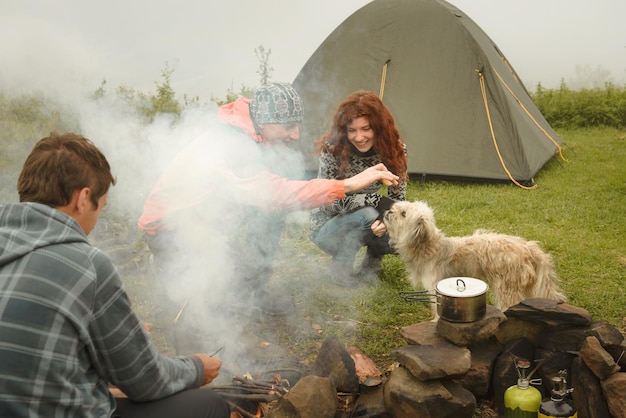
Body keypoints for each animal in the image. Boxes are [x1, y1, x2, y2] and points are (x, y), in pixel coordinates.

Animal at [380, 199, 564, 314]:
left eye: (403, 213)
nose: (388, 210)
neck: (428, 247)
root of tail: (530, 248)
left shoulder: (435, 288)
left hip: (507, 289)